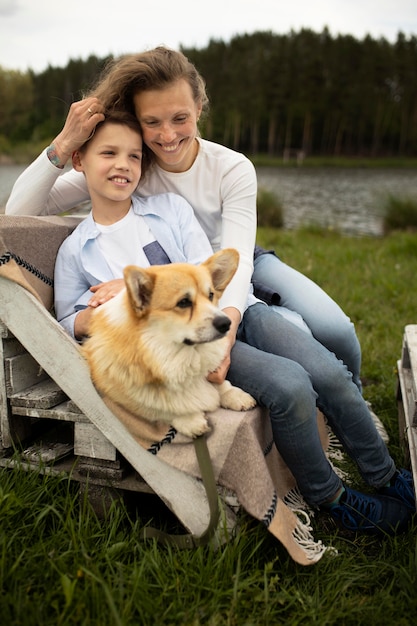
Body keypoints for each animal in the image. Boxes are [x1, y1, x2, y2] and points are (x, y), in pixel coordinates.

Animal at [81, 246, 255, 436]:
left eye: (211, 295)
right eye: (184, 302)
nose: (226, 323)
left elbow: (221, 383)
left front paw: (234, 395)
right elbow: (160, 408)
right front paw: (190, 420)